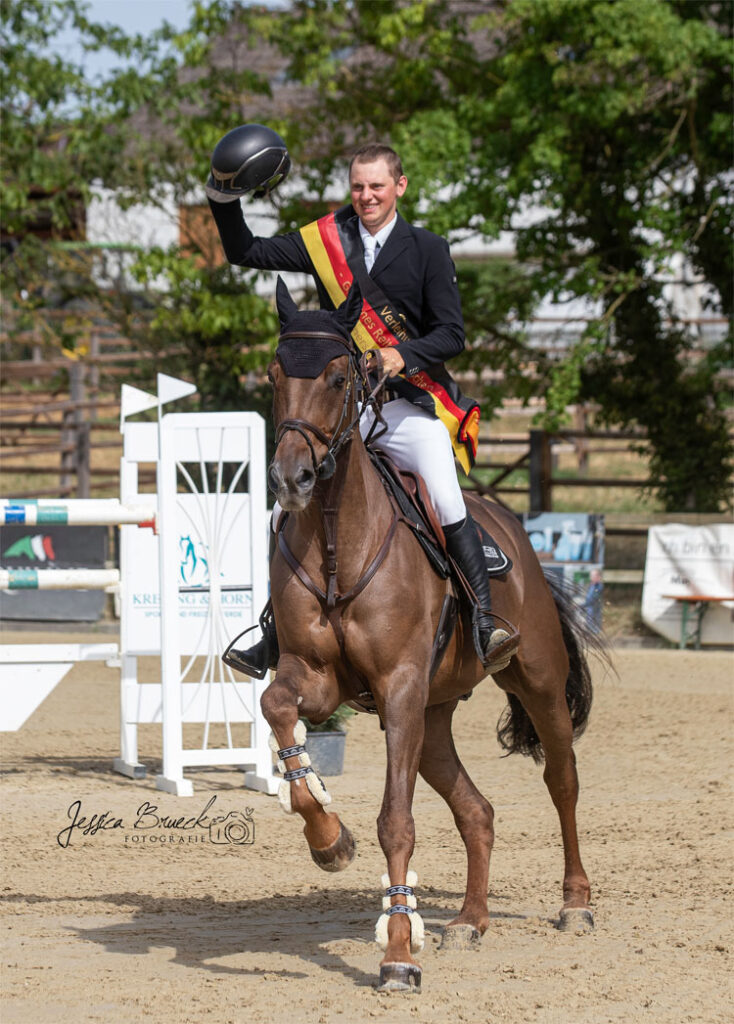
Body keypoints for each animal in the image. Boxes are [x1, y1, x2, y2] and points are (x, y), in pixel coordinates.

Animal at [257, 280, 601, 991]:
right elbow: (277, 707)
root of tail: (513, 528)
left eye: (338, 378)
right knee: (477, 810)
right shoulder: (318, 676)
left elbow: (397, 822)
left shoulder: (400, 686)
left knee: (562, 780)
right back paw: (470, 921)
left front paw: (397, 956)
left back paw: (575, 904)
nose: (290, 480)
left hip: (534, 684)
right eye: (274, 377)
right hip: (433, 716)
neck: (336, 537)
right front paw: (329, 840)